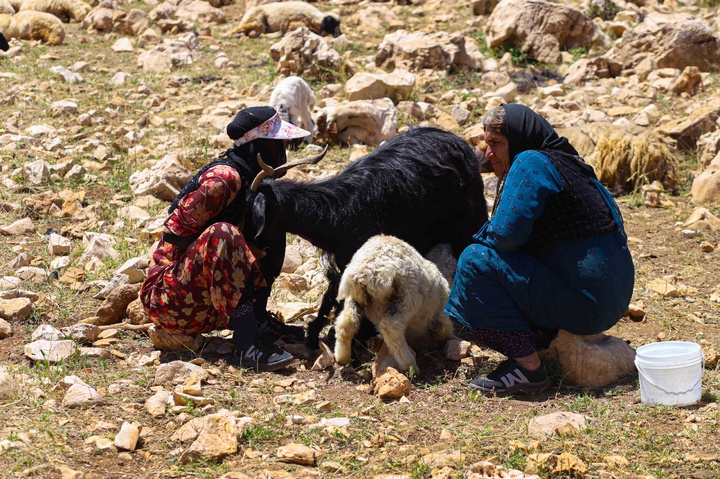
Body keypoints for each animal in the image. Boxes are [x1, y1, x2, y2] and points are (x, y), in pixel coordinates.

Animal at [248, 127, 490, 350]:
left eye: (248, 206)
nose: (253, 248)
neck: (334, 213)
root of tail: (460, 143)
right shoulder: (344, 261)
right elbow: (331, 294)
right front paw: (315, 334)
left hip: (469, 218)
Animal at [334, 236, 456, 376]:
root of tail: (366, 270)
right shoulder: (441, 314)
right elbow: (444, 329)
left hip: (355, 298)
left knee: (346, 322)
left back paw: (342, 357)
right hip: (407, 298)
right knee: (391, 327)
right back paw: (410, 365)